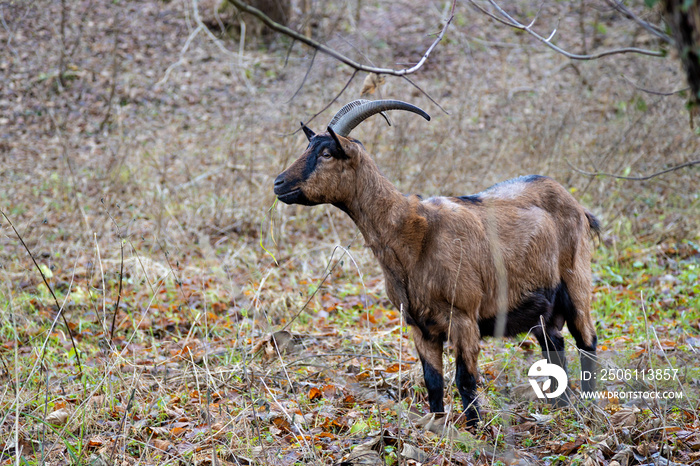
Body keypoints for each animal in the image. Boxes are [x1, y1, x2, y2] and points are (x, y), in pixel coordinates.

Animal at [272, 99, 596, 426]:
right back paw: (561, 407)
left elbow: (465, 380)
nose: (278, 183)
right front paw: (439, 426)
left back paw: (588, 408)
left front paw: (474, 429)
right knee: (555, 345)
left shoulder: (464, 318)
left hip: (576, 283)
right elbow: (433, 381)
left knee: (587, 341)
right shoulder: (420, 325)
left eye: (326, 153)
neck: (416, 235)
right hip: (541, 308)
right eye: (309, 146)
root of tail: (577, 205)